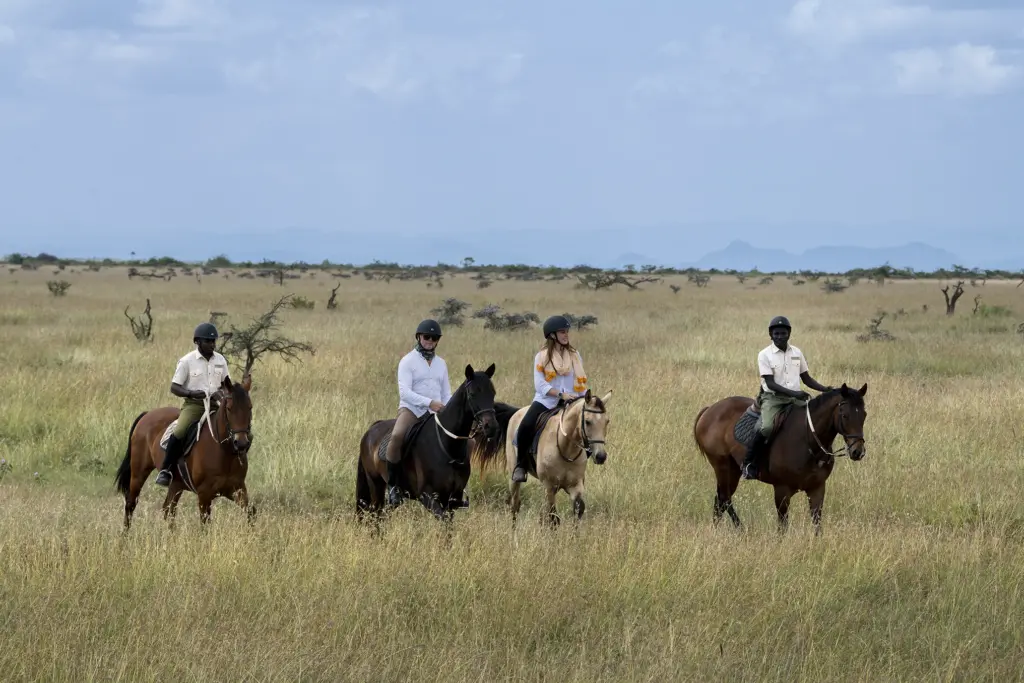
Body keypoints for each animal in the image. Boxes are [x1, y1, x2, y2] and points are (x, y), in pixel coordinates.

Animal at [115, 375, 255, 530]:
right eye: (229, 409)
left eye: (250, 407)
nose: (241, 443)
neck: (224, 452)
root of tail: (147, 414)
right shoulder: (204, 494)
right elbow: (205, 524)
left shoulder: (237, 489)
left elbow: (251, 512)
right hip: (138, 474)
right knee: (131, 504)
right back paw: (125, 534)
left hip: (176, 483)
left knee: (168, 510)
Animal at [356, 363, 501, 528]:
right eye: (472, 394)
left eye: (493, 393)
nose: (491, 427)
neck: (448, 448)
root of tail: (371, 430)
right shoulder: (427, 496)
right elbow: (444, 522)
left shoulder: (451, 500)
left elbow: (448, 527)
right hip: (376, 484)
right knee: (375, 515)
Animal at [474, 389, 613, 526]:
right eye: (588, 422)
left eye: (607, 421)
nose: (601, 456)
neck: (566, 448)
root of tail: (517, 412)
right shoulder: (549, 487)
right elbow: (554, 518)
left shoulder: (575, 486)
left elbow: (578, 510)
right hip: (514, 478)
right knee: (515, 506)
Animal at [692, 383, 867, 535]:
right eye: (845, 415)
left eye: (864, 415)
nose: (857, 452)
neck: (808, 440)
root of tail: (710, 410)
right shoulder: (782, 490)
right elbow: (782, 526)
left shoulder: (817, 488)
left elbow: (817, 523)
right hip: (722, 466)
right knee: (725, 498)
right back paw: (741, 529)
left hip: (734, 470)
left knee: (720, 500)